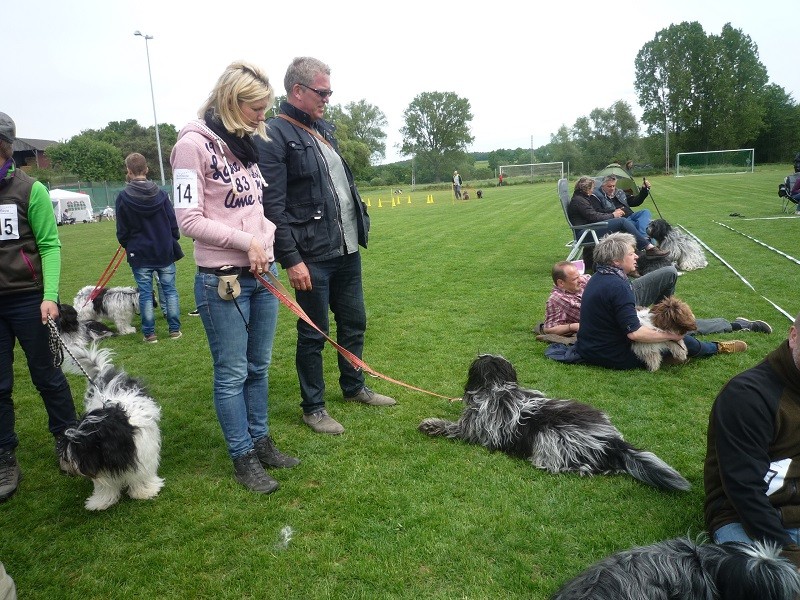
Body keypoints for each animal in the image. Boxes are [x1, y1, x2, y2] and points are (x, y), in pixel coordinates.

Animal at [58, 344, 164, 508]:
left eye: (83, 447)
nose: (66, 461)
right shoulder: (100, 464)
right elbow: (104, 485)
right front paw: (100, 501)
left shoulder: (142, 453)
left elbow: (141, 475)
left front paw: (144, 491)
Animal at [422, 354, 692, 490]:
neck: (498, 388)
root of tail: (612, 442)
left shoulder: (473, 429)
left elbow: (452, 427)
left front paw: (431, 424)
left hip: (550, 442)